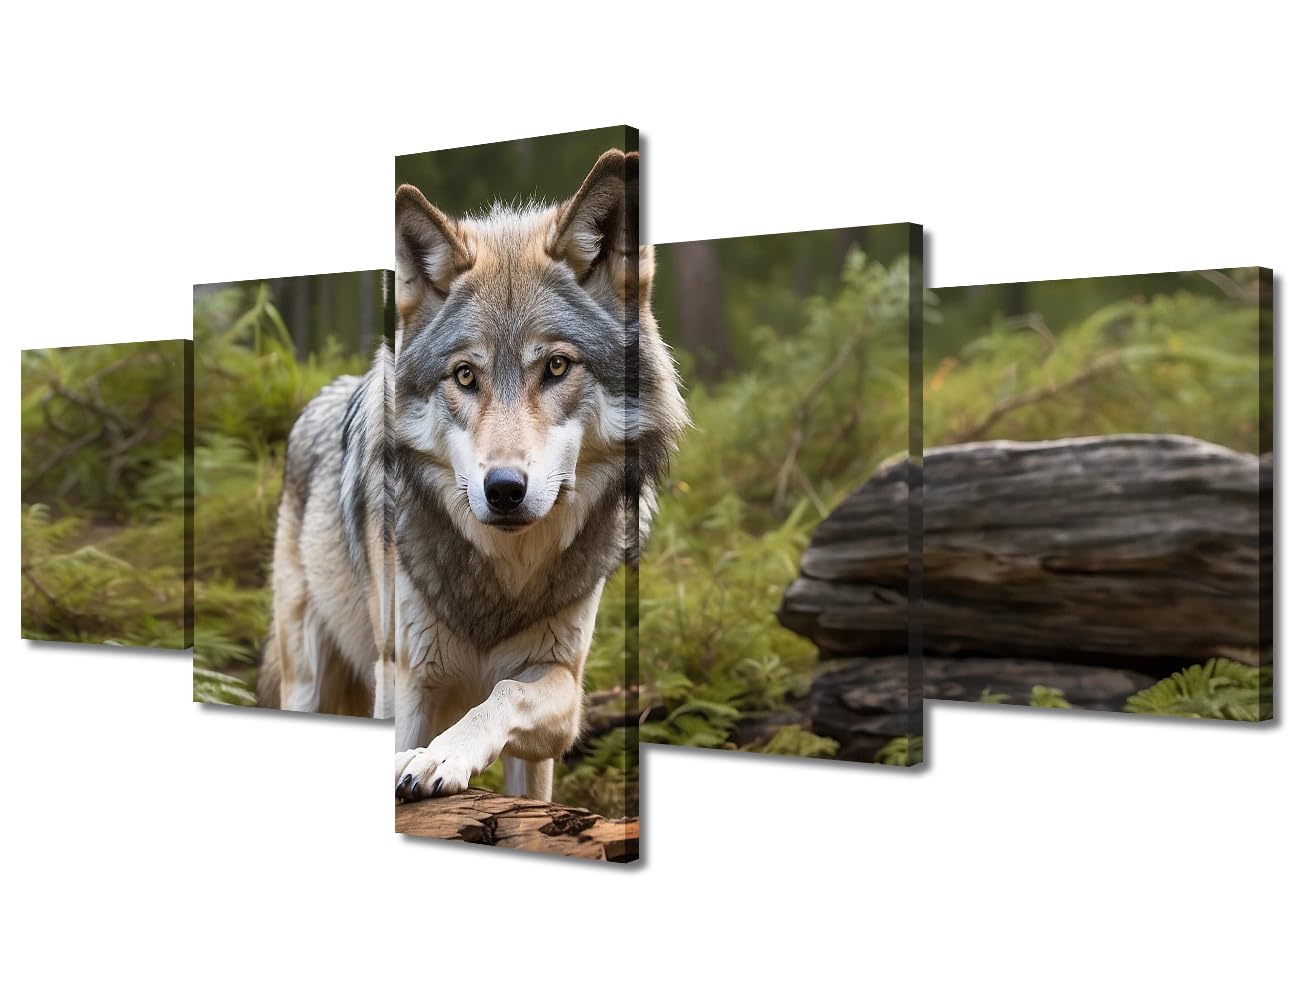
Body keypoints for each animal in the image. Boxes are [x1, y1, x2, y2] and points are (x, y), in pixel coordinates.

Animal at [390, 149, 688, 803]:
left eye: (555, 366)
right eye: (466, 375)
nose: (504, 489)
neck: (504, 575)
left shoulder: (562, 687)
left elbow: (504, 695)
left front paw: (442, 757)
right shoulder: (410, 684)